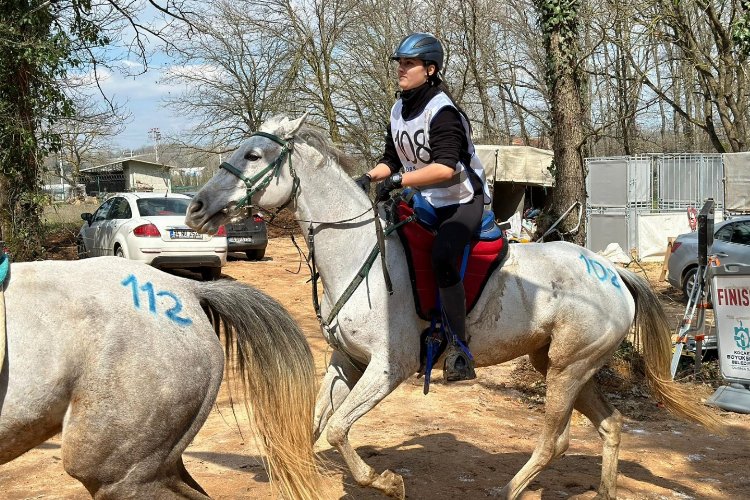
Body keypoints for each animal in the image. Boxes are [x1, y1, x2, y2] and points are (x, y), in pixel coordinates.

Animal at [185, 116, 720, 500]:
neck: (360, 252)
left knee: (555, 441)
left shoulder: (388, 368)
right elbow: (316, 425)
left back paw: (506, 490)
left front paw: (388, 482)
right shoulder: (346, 362)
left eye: (254, 154)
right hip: (561, 365)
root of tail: (612, 273)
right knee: (610, 425)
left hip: (568, 370)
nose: (195, 208)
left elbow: (337, 430)